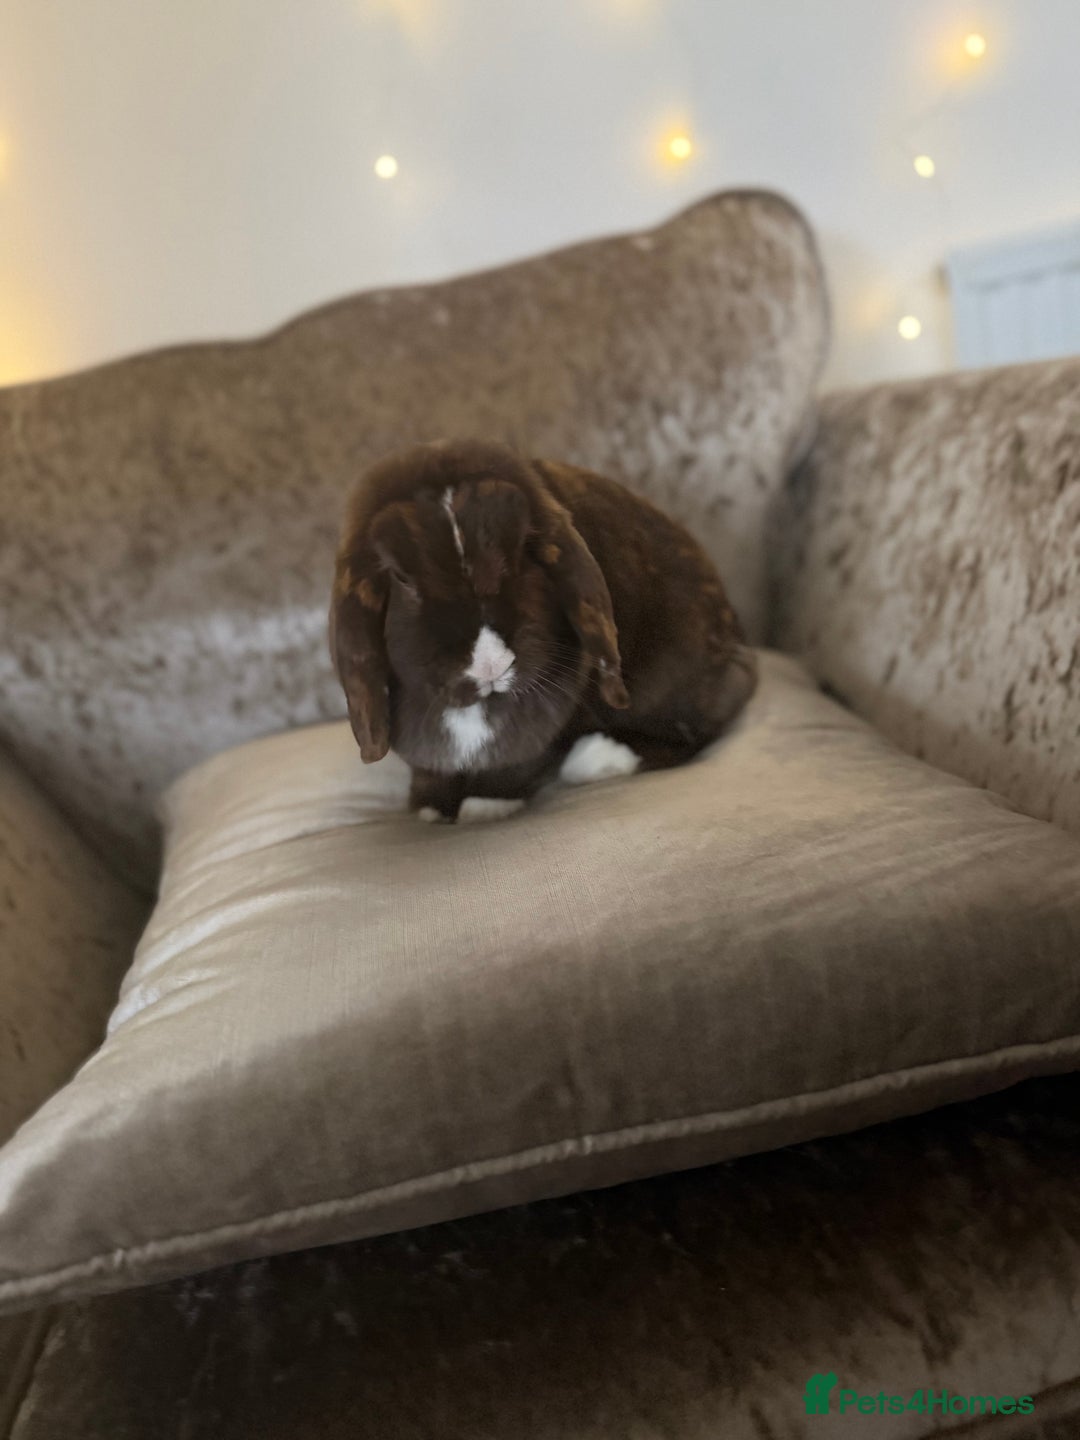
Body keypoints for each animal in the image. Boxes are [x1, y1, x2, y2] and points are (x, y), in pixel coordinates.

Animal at [330, 439, 756, 823]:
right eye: (401, 577)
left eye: (524, 549)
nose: (490, 663)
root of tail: (742, 652)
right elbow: (430, 773)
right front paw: (431, 809)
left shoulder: (540, 733)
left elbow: (516, 766)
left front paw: (484, 808)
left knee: (694, 732)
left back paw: (595, 758)